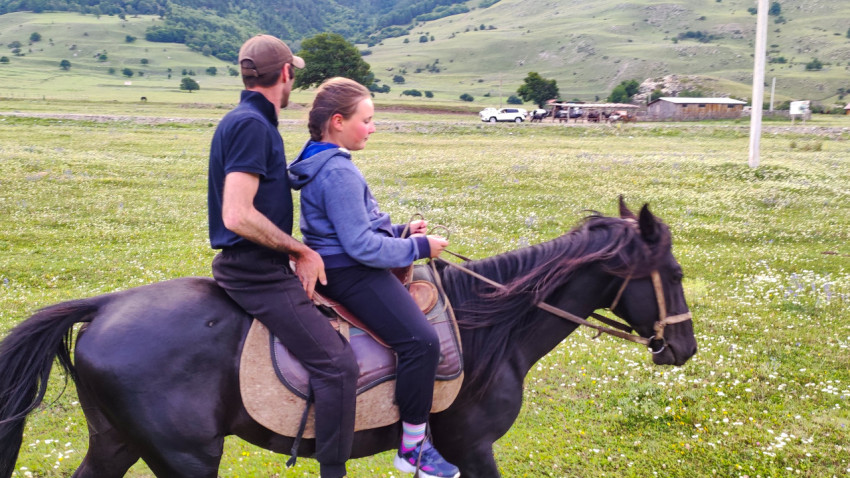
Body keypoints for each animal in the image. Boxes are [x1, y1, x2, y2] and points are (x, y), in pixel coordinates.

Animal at [0, 199, 697, 478]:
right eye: (674, 274)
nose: (685, 348)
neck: (492, 328)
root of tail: (107, 305)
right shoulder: (472, 447)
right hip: (185, 457)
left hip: (116, 442)